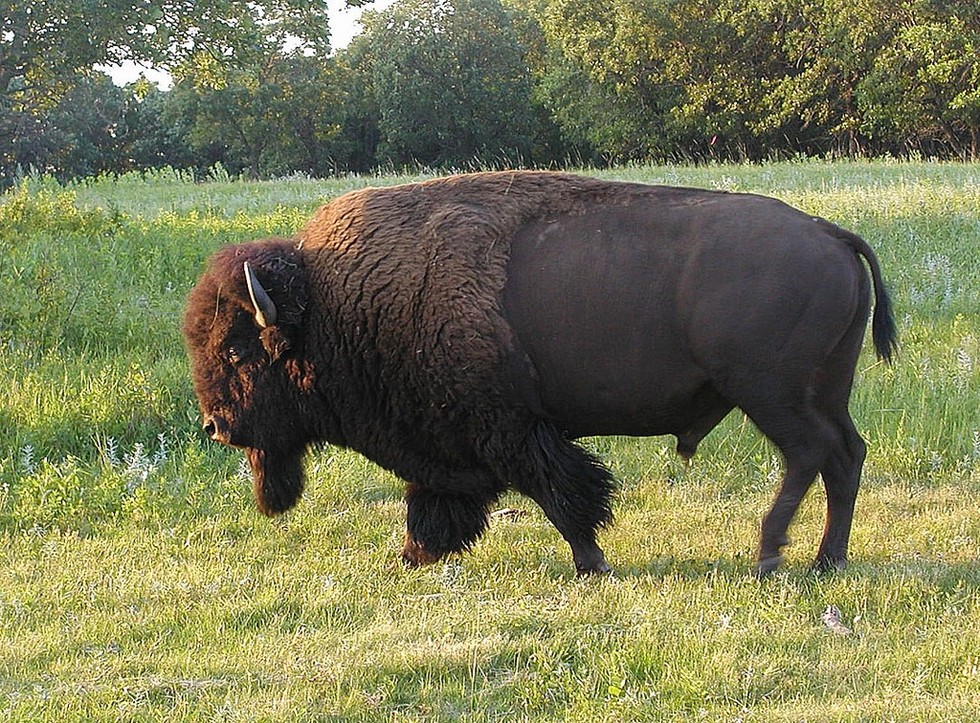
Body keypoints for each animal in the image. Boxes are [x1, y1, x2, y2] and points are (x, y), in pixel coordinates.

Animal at [182, 171, 896, 576]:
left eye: (238, 352)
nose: (217, 426)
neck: (337, 304)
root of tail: (831, 233)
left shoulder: (510, 429)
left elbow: (561, 491)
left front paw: (592, 563)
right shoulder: (447, 447)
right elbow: (438, 499)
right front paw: (416, 554)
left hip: (770, 394)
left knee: (810, 454)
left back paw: (771, 555)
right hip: (825, 390)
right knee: (846, 456)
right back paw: (827, 561)